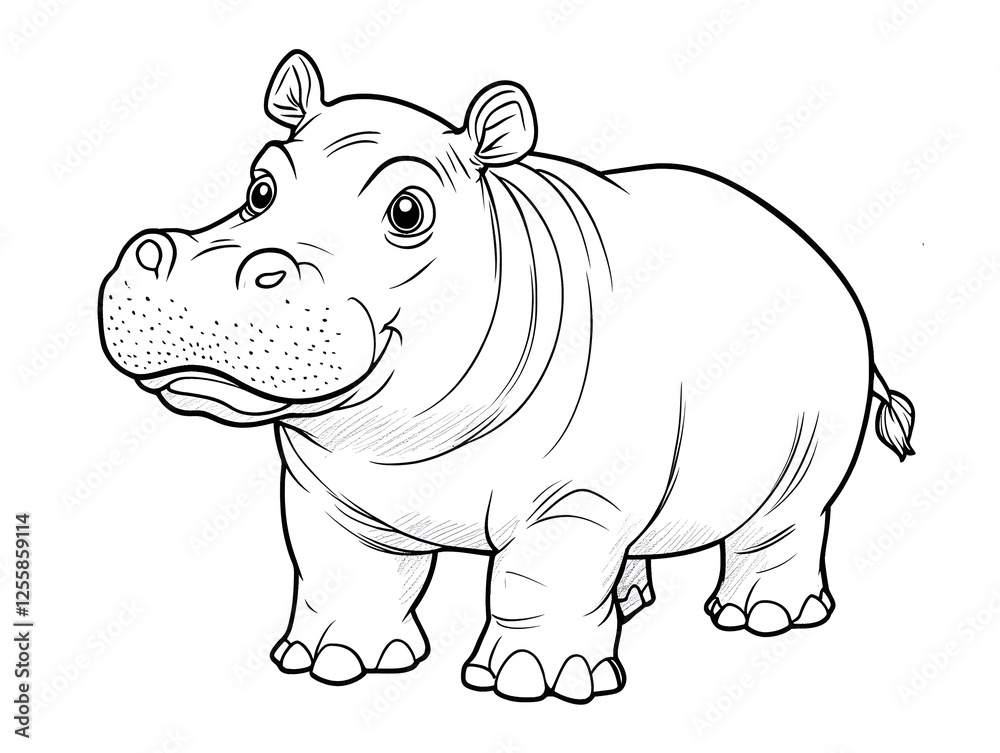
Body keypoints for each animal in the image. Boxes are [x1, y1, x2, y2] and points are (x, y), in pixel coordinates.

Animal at [99, 50, 915, 703]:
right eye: (261, 186)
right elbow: (344, 569)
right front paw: (330, 664)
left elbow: (541, 579)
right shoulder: (327, 493)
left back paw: (763, 618)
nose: (202, 270)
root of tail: (815, 250)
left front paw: (533, 683)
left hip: (811, 452)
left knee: (782, 529)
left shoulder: (577, 497)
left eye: (408, 210)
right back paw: (632, 600)